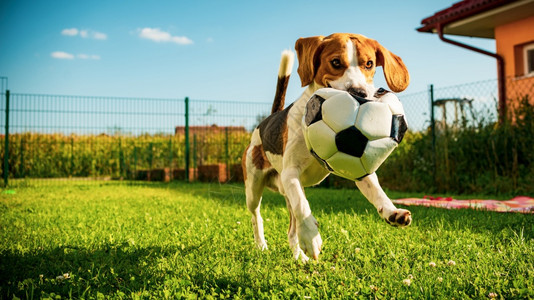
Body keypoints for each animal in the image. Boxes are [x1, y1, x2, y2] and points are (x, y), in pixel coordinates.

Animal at [243, 34, 414, 262]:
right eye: (335, 62)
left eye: (369, 64)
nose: (359, 93)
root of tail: (267, 120)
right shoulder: (291, 173)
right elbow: (302, 204)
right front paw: (311, 236)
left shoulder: (359, 170)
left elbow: (378, 193)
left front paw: (391, 211)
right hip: (253, 188)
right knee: (257, 216)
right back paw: (262, 245)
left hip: (284, 191)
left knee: (291, 230)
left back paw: (299, 256)